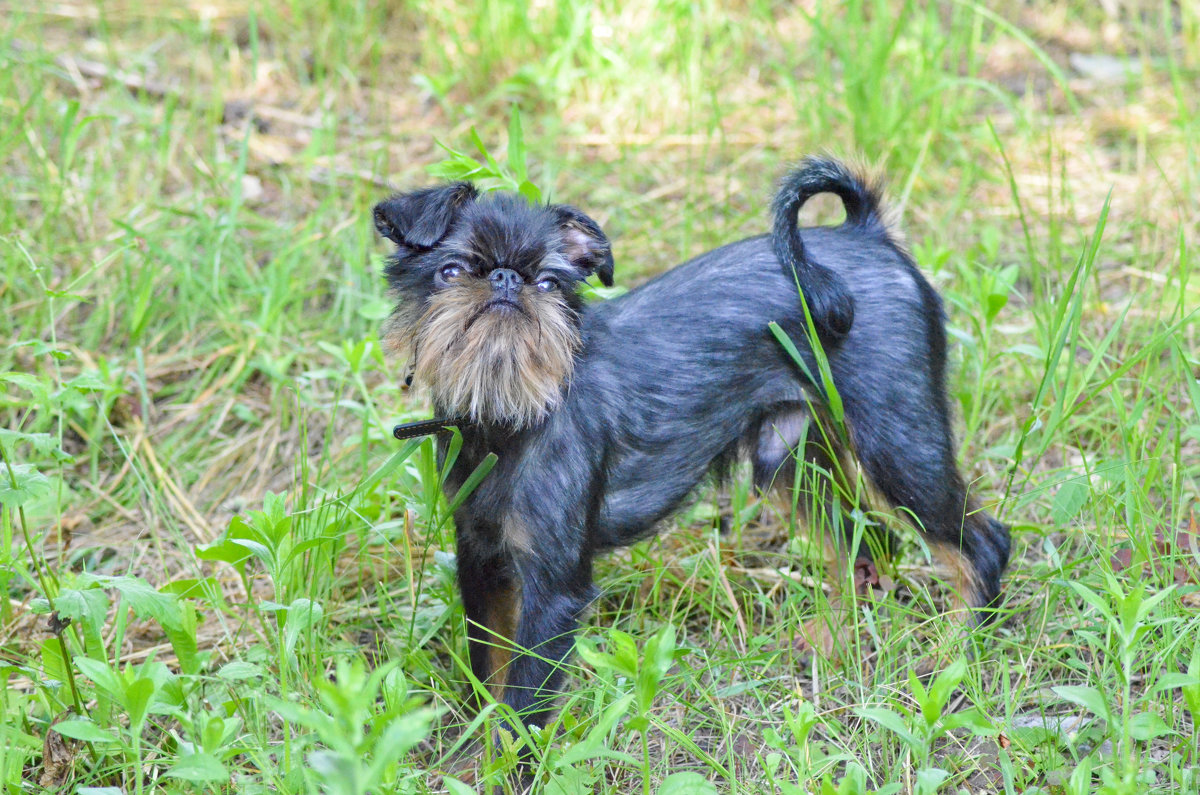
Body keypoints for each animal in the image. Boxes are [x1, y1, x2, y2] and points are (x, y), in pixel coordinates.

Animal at [374, 156, 1012, 734]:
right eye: (452, 271)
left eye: (552, 283)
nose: (507, 279)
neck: (506, 417)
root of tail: (867, 234)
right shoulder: (483, 565)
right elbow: (490, 674)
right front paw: (474, 747)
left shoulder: (552, 590)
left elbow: (523, 707)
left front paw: (510, 767)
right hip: (791, 456)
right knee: (867, 544)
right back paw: (835, 643)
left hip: (897, 441)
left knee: (981, 544)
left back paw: (953, 657)